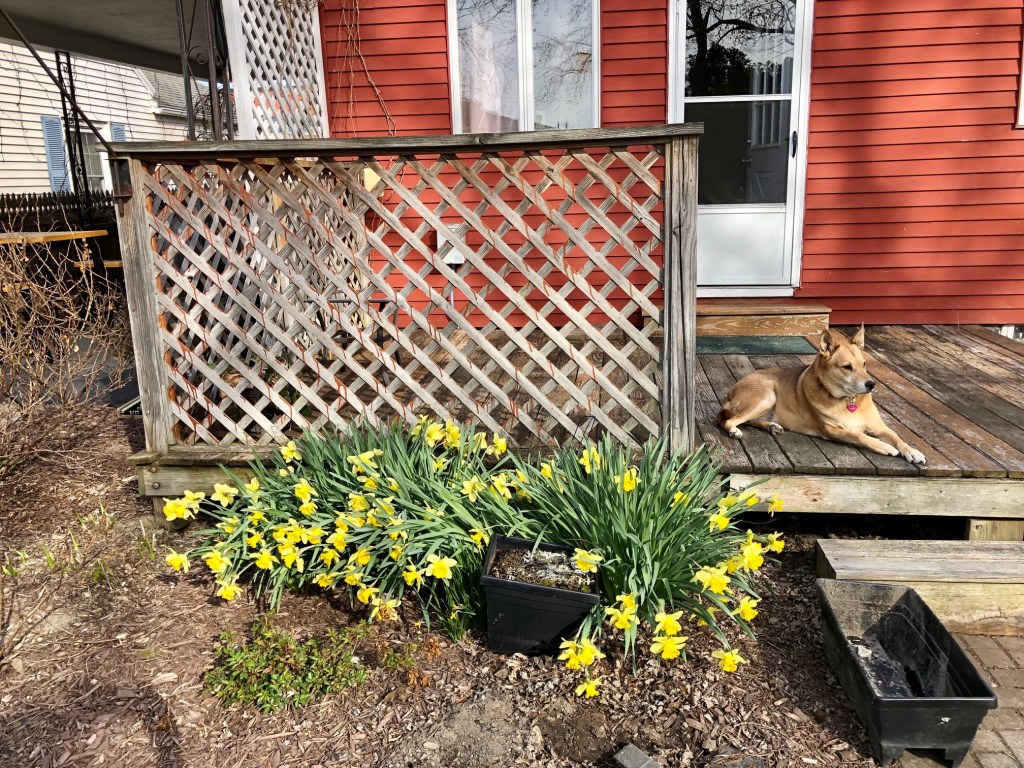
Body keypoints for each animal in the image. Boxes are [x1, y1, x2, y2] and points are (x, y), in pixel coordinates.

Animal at [717, 325, 926, 464]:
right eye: (847, 367)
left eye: (865, 364)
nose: (871, 384)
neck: (847, 400)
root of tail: (729, 394)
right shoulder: (832, 430)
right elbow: (860, 436)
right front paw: (886, 447)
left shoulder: (878, 426)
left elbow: (896, 436)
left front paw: (912, 451)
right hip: (766, 396)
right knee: (729, 421)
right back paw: (735, 430)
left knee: (748, 420)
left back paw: (772, 426)